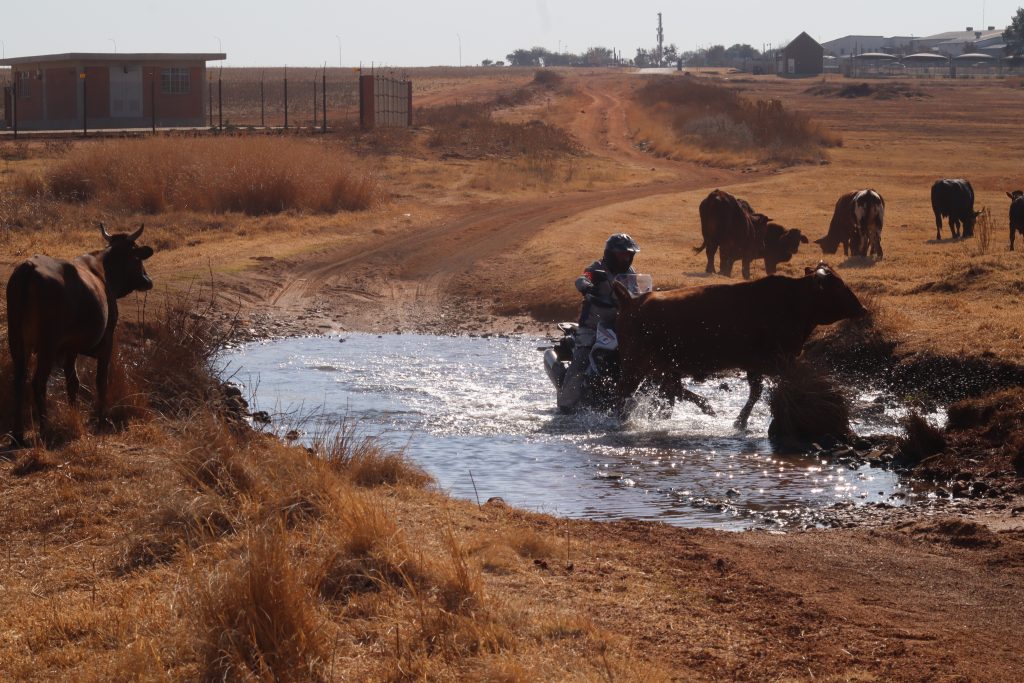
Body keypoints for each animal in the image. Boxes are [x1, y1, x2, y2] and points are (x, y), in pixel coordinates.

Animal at [7, 225, 154, 448]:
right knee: (38, 383)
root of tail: (28, 267)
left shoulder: (70, 348)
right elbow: (101, 379)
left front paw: (74, 414)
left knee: (18, 380)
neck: (102, 272)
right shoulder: (106, 341)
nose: (147, 280)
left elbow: (73, 382)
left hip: (16, 342)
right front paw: (102, 419)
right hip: (47, 346)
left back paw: (18, 435)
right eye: (137, 257)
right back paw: (45, 430)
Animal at [614, 264, 864, 430]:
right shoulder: (776, 361)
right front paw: (741, 420)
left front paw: (740, 421)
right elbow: (761, 392)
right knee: (626, 392)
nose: (861, 308)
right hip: (636, 365)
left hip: (664, 367)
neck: (793, 301)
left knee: (672, 391)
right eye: (838, 286)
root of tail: (633, 300)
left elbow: (755, 393)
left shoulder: (756, 366)